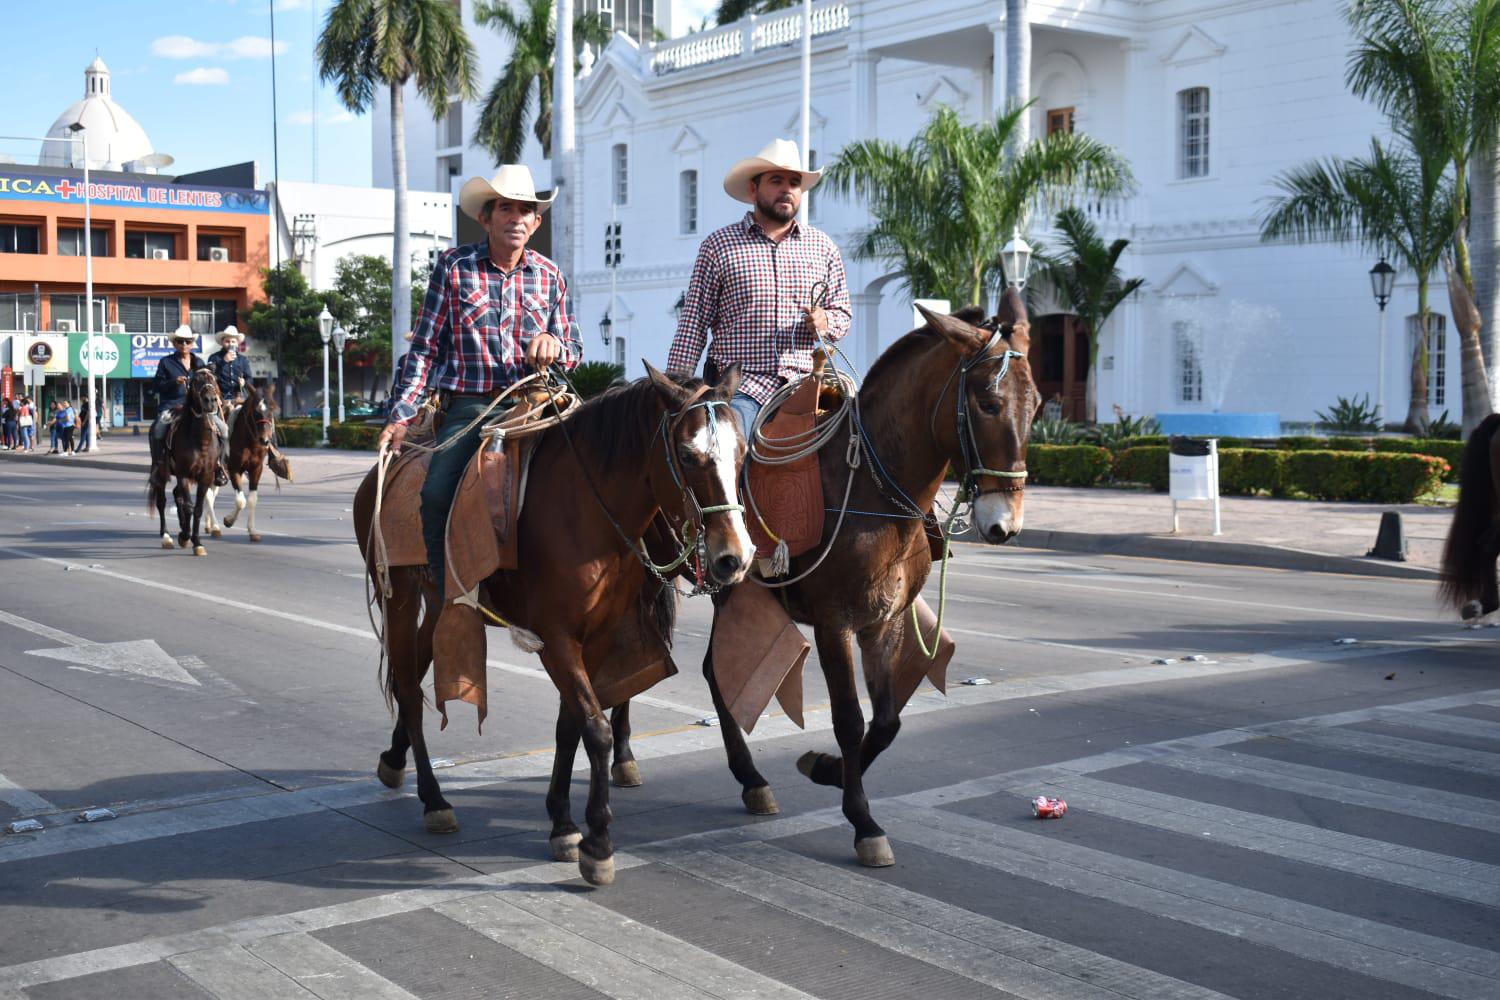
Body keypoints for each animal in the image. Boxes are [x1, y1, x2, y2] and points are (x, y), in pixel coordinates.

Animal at [147, 367, 223, 554]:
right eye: (196, 382)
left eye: (214, 379)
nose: (210, 401)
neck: (200, 440)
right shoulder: (184, 474)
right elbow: (188, 506)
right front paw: (185, 536)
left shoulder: (205, 477)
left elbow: (197, 509)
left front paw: (197, 542)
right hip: (161, 473)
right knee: (162, 501)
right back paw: (166, 537)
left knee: (177, 495)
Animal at [205, 383, 283, 542]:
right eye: (256, 412)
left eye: (272, 410)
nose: (265, 440)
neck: (248, 441)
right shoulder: (234, 469)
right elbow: (241, 501)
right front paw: (228, 521)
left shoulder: (256, 469)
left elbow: (252, 499)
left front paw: (252, 531)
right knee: (208, 495)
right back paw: (215, 527)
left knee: (211, 494)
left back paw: (209, 525)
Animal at [349, 364, 750, 887]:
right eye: (687, 455)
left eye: (742, 453)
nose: (734, 559)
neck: (584, 511)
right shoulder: (557, 640)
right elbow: (595, 729)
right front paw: (598, 844)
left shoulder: (595, 638)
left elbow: (570, 726)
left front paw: (563, 823)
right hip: (399, 597)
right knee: (411, 693)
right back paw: (434, 800)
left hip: (441, 605)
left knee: (410, 672)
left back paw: (394, 761)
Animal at [603, 290, 1038, 869]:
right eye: (988, 403)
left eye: (1036, 406)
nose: (1003, 523)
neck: (872, 490)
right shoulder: (836, 624)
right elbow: (850, 719)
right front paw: (863, 822)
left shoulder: (885, 622)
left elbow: (886, 721)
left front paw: (827, 769)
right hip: (644, 573)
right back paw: (626, 755)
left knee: (715, 673)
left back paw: (746, 779)